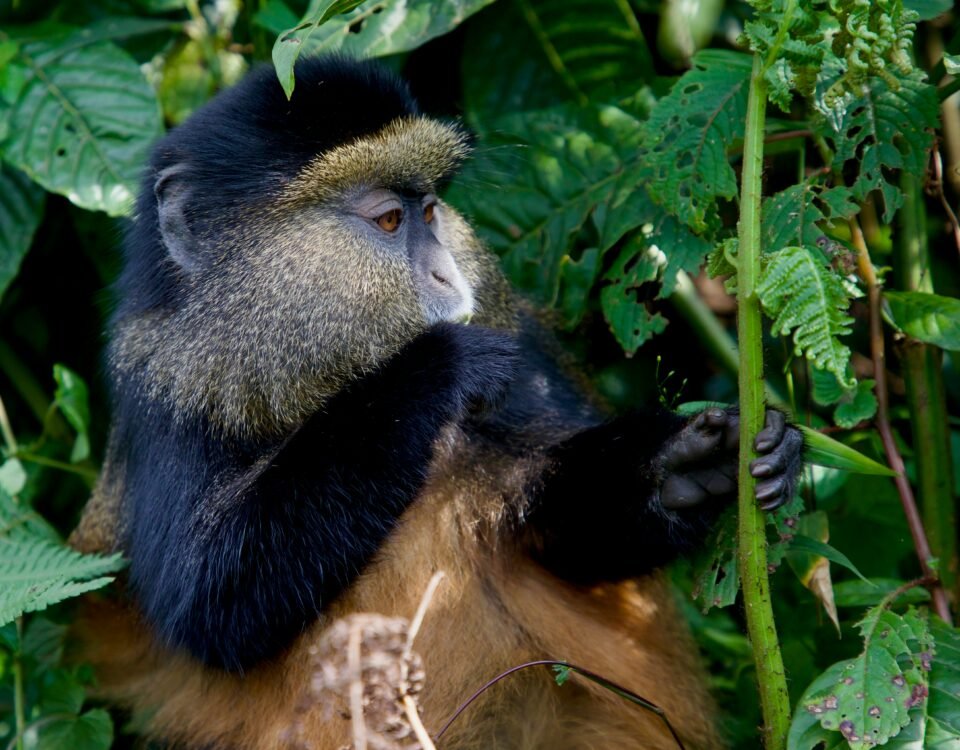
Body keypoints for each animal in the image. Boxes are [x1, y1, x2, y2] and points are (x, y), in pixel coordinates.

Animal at [69, 55, 804, 750]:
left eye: (428, 211)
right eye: (389, 220)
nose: (448, 273)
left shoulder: (521, 345)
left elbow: (568, 543)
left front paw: (685, 467)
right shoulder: (165, 393)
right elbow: (210, 606)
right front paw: (438, 365)